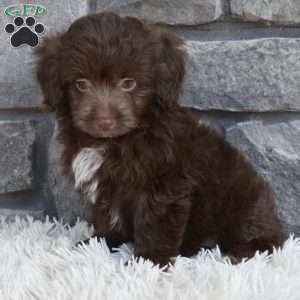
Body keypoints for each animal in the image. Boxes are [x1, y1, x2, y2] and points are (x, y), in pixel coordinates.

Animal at [35, 11, 286, 266]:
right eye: (81, 84)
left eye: (129, 83)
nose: (104, 122)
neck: (118, 140)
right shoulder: (107, 186)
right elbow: (108, 215)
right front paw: (99, 242)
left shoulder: (165, 184)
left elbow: (155, 224)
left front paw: (147, 262)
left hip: (242, 201)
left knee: (266, 238)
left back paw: (239, 252)